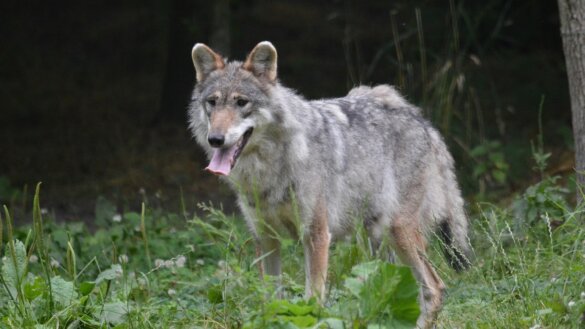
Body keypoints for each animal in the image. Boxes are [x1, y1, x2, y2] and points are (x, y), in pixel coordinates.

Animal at [187, 41, 470, 328]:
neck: (270, 168)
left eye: (241, 102)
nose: (215, 139)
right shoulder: (266, 239)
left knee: (434, 288)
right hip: (376, 243)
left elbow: (312, 301)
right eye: (212, 103)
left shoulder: (317, 236)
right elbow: (271, 302)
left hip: (399, 232)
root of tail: (423, 121)